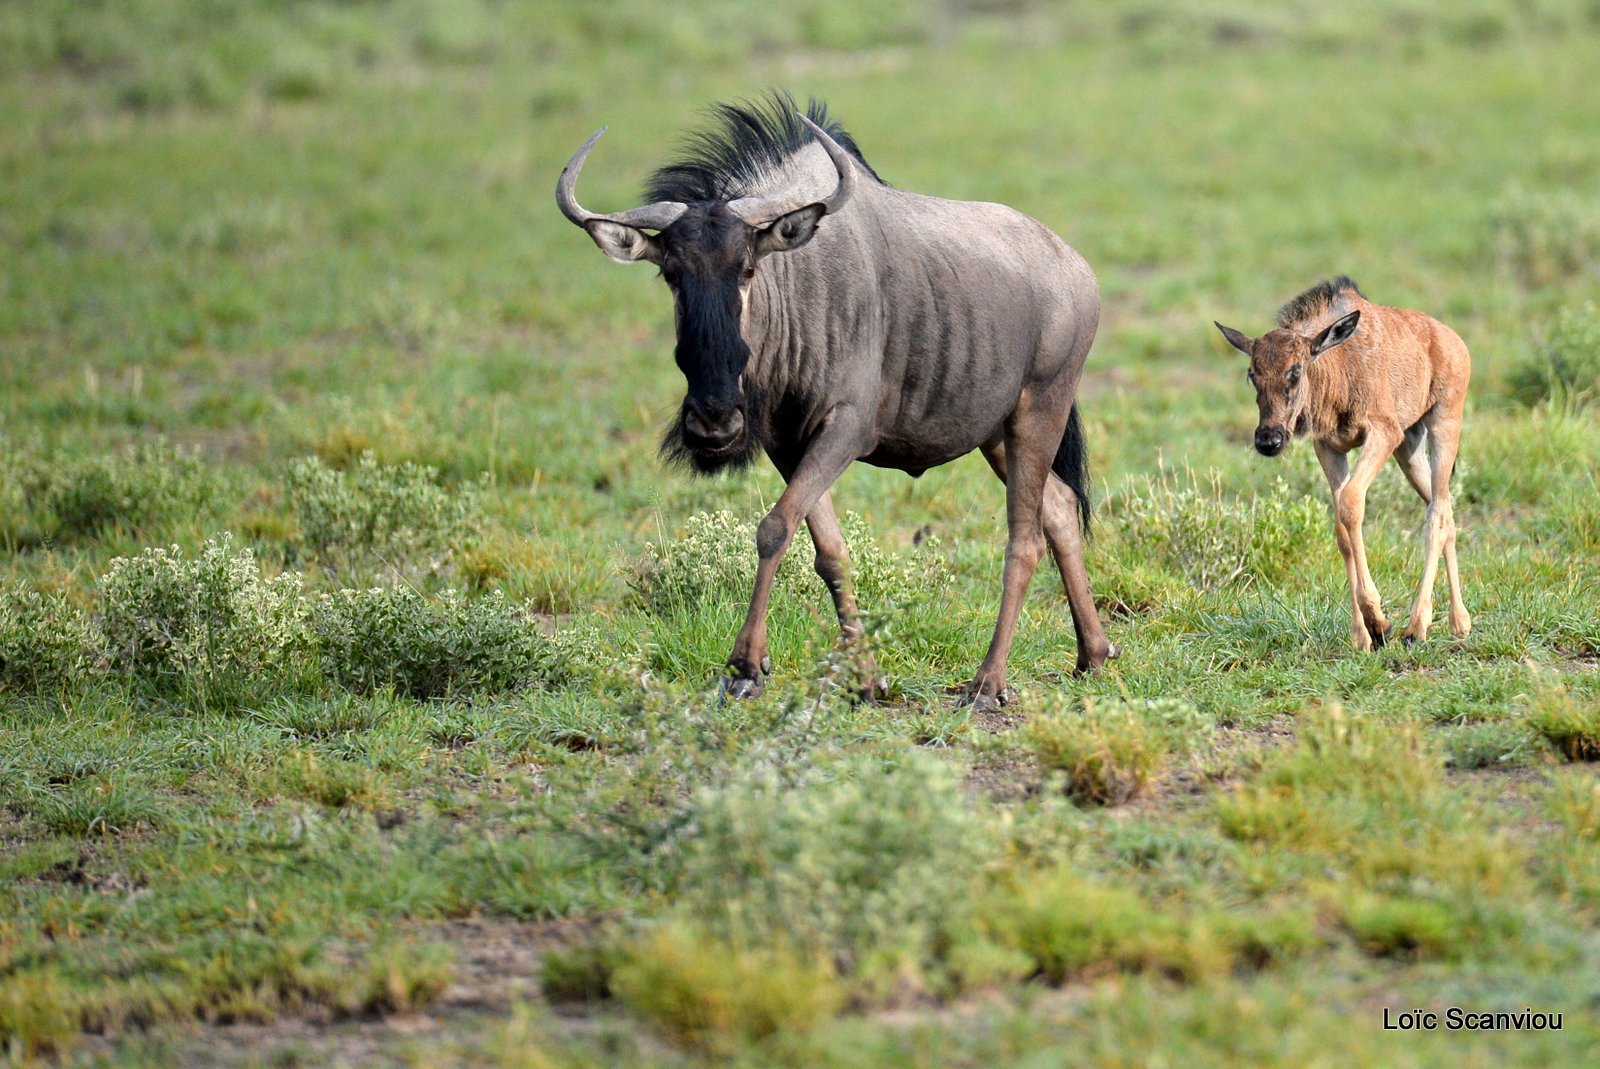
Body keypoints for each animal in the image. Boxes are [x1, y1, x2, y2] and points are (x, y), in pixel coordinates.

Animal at [1209, 275, 1472, 652]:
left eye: (1295, 371)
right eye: (1251, 374)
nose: (1268, 440)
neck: (1338, 369)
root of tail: (1455, 342)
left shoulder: (1382, 432)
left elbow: (1350, 505)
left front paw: (1379, 621)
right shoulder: (1329, 448)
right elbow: (1341, 530)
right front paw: (1362, 634)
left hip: (1443, 425)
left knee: (1437, 514)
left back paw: (1418, 625)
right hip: (1410, 448)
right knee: (1446, 509)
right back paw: (1459, 622)